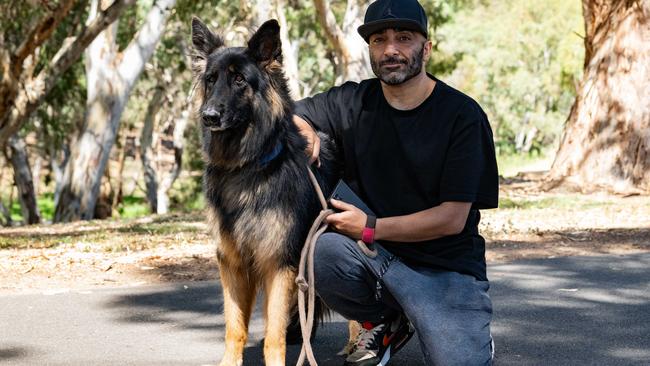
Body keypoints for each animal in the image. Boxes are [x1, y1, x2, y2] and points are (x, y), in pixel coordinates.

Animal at [190, 17, 336, 366]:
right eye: (211, 80)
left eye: (239, 79)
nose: (208, 116)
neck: (247, 168)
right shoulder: (231, 262)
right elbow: (235, 328)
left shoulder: (278, 263)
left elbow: (273, 334)